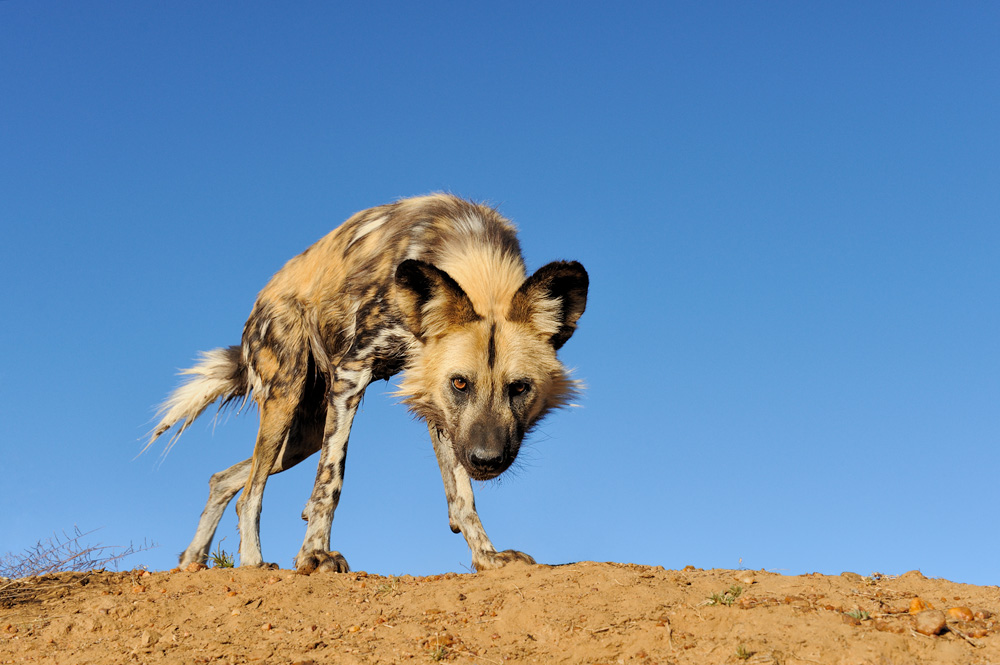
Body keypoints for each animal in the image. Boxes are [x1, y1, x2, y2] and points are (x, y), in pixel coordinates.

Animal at [147, 194, 588, 573]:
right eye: (461, 383)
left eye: (519, 388)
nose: (486, 459)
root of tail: (260, 303)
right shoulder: (353, 373)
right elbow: (330, 482)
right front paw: (315, 556)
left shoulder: (437, 407)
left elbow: (462, 497)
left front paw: (487, 558)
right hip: (286, 399)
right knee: (251, 493)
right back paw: (253, 563)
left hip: (304, 433)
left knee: (225, 478)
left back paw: (193, 561)